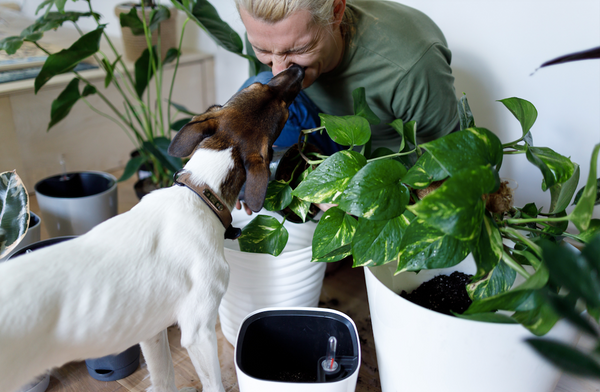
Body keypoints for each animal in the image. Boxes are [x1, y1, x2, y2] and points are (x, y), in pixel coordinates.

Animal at [0, 64, 308, 392]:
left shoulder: (151, 331)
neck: (199, 193)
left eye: (259, 88)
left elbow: (163, 378)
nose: (297, 68)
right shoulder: (198, 332)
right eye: (283, 108)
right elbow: (213, 383)